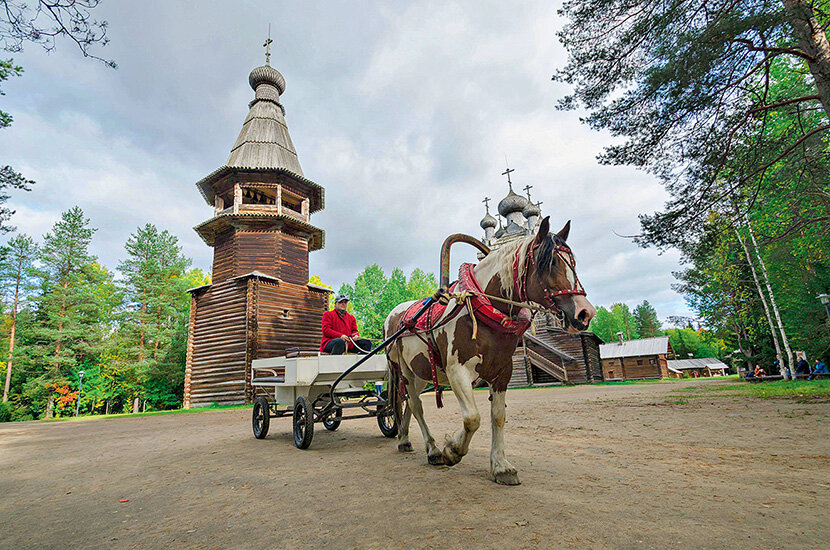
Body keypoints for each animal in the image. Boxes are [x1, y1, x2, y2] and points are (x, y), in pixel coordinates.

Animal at [386, 218, 600, 486]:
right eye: (549, 263)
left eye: (572, 263)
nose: (585, 313)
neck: (480, 309)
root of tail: (395, 316)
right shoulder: (457, 371)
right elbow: (472, 418)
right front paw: (452, 450)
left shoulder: (502, 372)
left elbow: (497, 416)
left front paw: (500, 466)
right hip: (404, 371)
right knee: (416, 406)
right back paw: (433, 450)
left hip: (421, 374)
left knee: (408, 405)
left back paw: (405, 439)